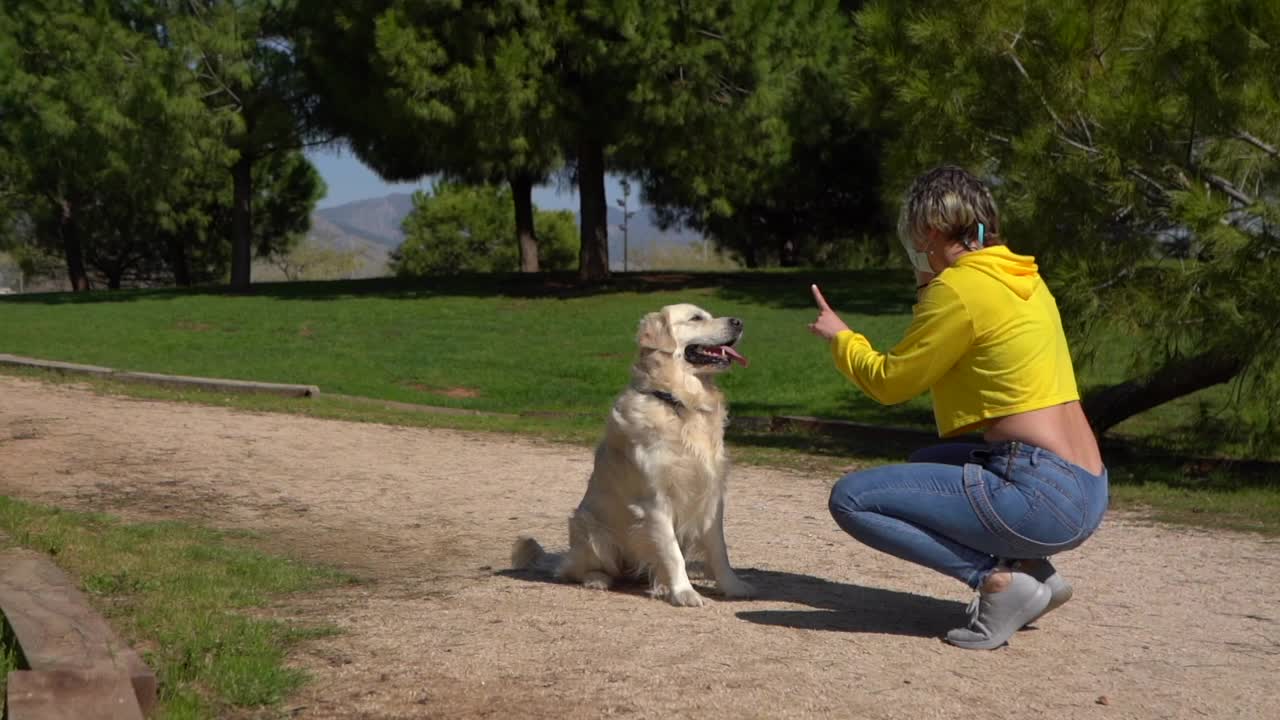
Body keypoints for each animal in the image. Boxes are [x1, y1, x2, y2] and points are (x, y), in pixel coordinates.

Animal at [506, 299, 747, 602]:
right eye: (695, 318)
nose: (739, 322)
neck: (678, 403)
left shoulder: (711, 495)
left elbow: (719, 550)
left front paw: (733, 587)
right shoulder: (654, 499)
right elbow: (673, 553)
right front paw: (684, 593)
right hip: (592, 531)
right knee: (575, 571)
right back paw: (597, 579)